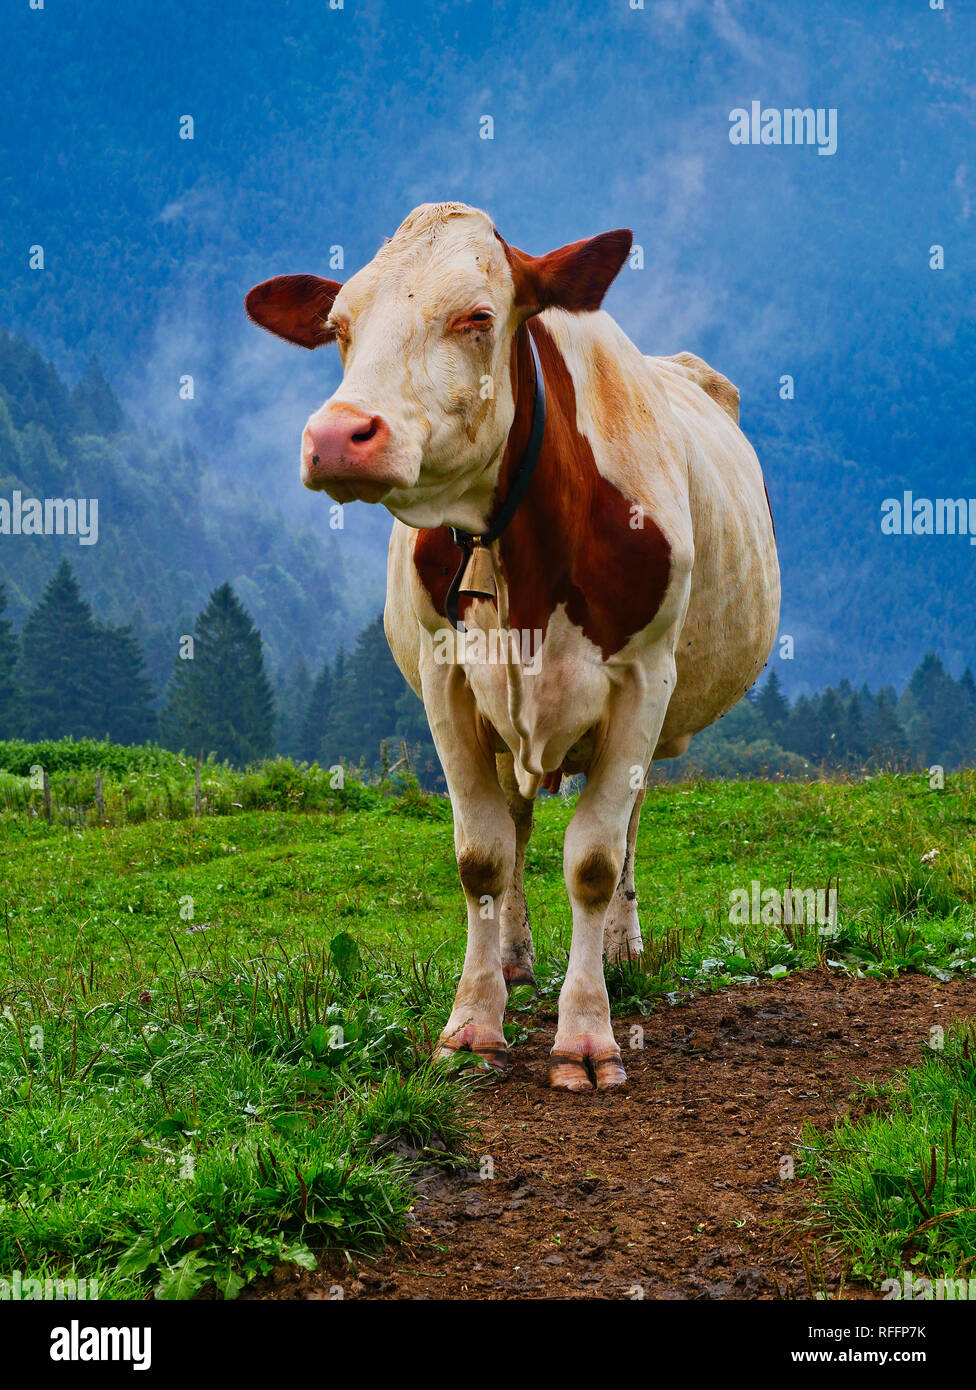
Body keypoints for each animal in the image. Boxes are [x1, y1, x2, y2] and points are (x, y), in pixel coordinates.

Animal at [246, 201, 780, 1092]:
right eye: (339, 327)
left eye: (477, 316)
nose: (338, 436)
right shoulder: (448, 680)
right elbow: (483, 855)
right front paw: (473, 1022)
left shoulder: (644, 679)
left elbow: (594, 858)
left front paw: (587, 1036)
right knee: (520, 819)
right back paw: (515, 958)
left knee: (626, 829)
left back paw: (622, 950)